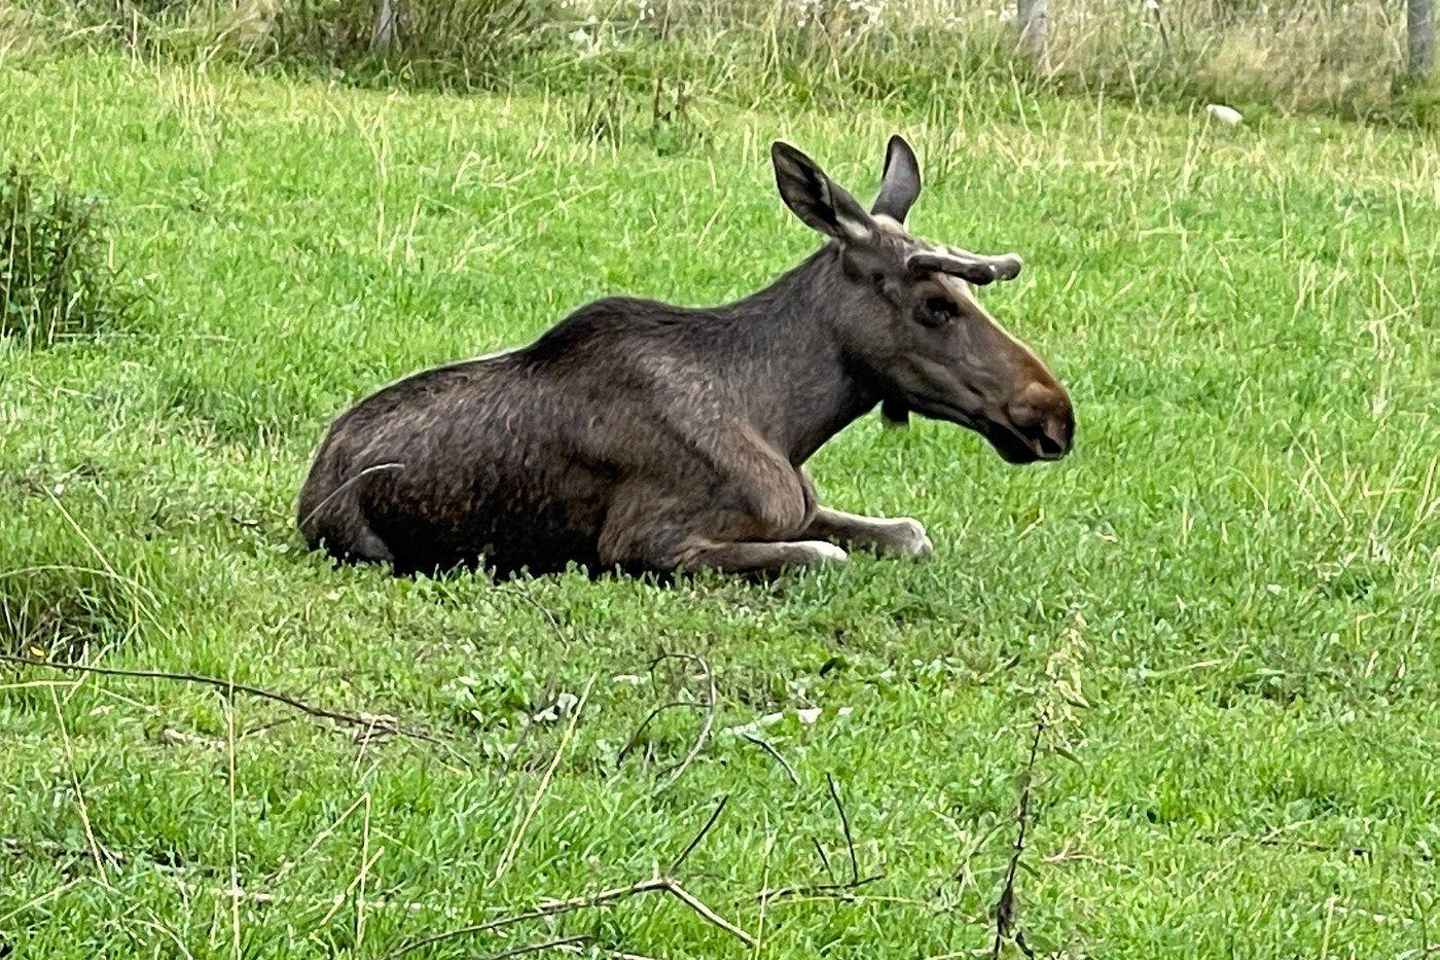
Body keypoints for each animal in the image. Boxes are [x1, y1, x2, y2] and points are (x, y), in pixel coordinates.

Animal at [295, 134, 1074, 580]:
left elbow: (909, 534)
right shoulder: (646, 543)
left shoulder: (804, 507)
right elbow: (824, 558)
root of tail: (311, 481)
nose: (1054, 415)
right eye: (936, 305)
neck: (784, 422)